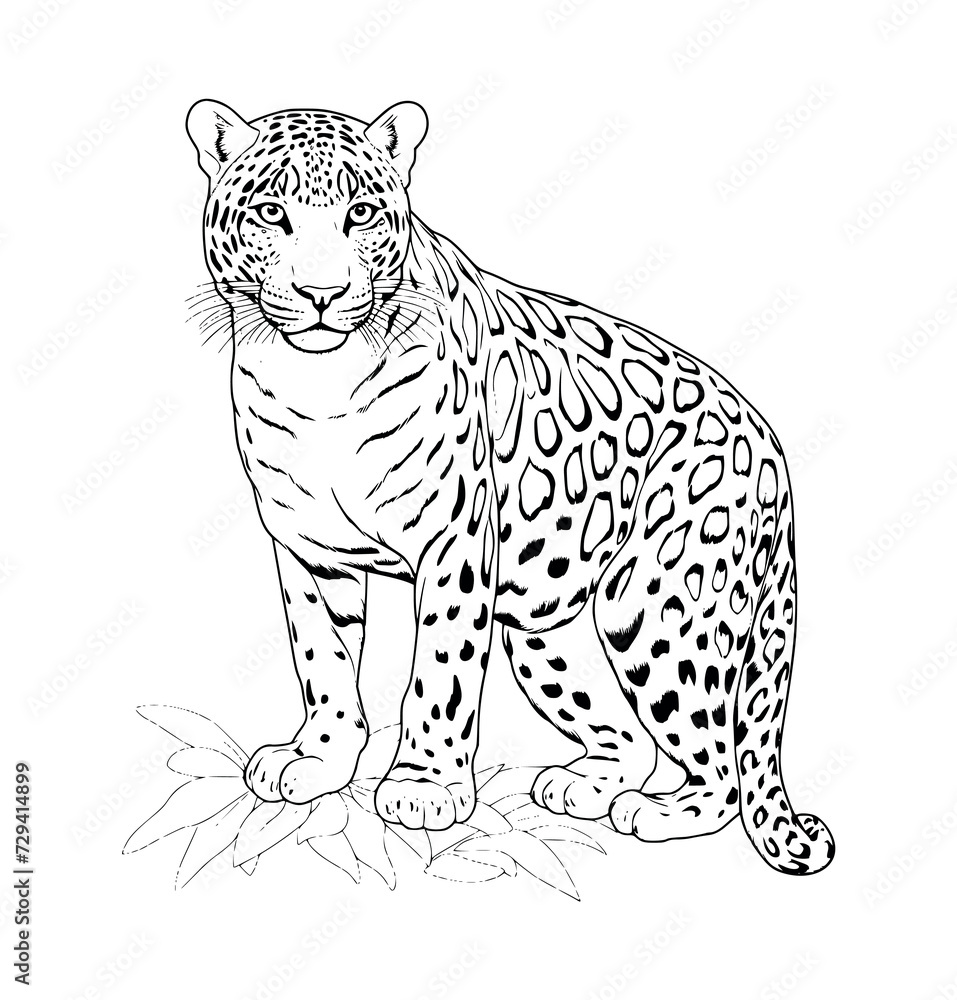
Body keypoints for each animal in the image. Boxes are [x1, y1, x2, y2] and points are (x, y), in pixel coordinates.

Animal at [185, 98, 835, 875]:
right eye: (271, 213)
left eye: (362, 213)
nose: (322, 294)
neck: (317, 386)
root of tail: (772, 452)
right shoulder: (310, 549)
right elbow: (324, 659)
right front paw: (319, 758)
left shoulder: (454, 544)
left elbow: (440, 669)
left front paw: (424, 789)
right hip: (540, 625)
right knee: (628, 733)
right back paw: (581, 785)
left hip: (658, 608)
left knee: (716, 758)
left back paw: (656, 811)